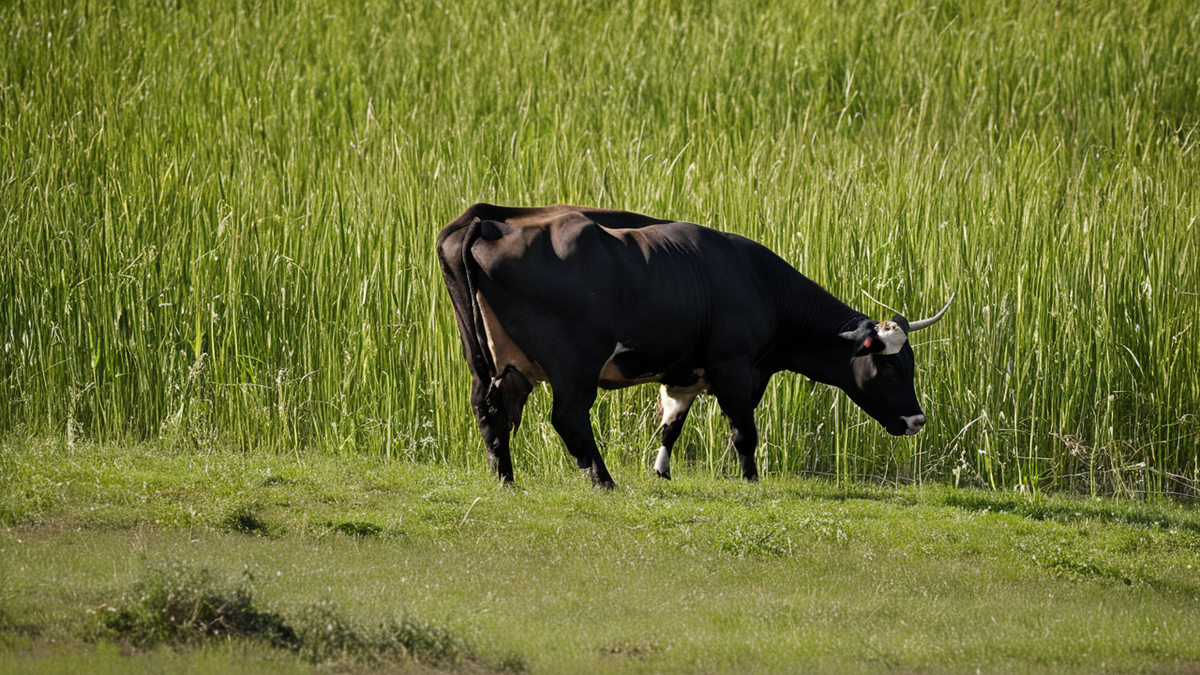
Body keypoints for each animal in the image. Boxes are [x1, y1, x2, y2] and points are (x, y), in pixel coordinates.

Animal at [437, 203, 953, 488]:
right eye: (889, 368)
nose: (917, 420)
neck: (760, 283)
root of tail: (487, 221)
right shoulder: (734, 367)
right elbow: (744, 431)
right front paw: (751, 479)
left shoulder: (685, 372)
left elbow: (671, 424)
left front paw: (662, 470)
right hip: (573, 366)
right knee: (567, 417)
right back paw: (602, 479)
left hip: (493, 363)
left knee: (490, 409)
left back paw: (505, 477)